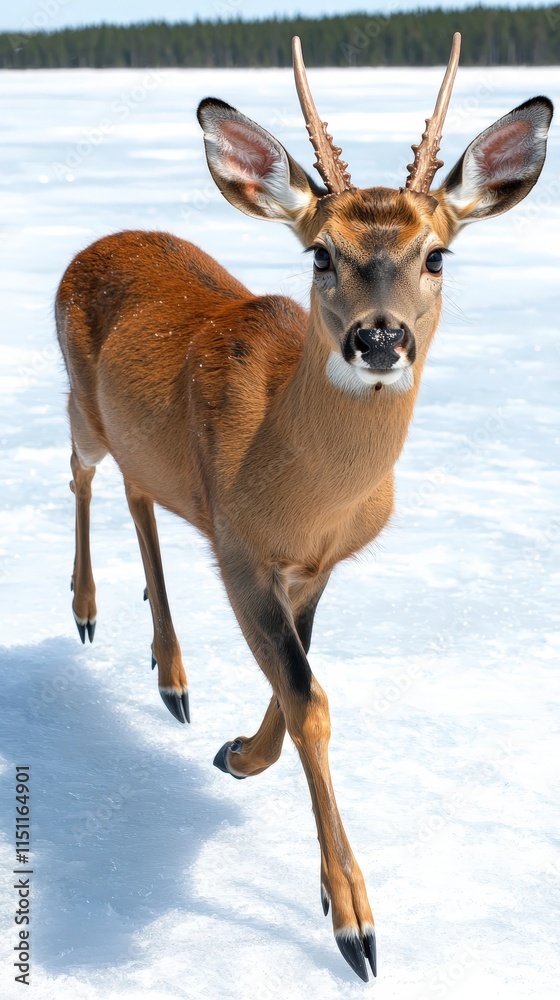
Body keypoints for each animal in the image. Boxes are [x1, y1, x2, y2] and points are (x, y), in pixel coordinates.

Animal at [55, 33, 552, 981]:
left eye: (438, 253)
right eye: (320, 253)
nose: (379, 338)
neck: (303, 482)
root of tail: (101, 237)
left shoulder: (316, 565)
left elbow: (297, 690)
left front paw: (238, 756)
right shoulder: (241, 549)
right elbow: (308, 698)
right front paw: (354, 924)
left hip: (141, 441)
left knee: (138, 492)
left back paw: (170, 674)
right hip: (82, 404)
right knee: (80, 473)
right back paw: (91, 614)